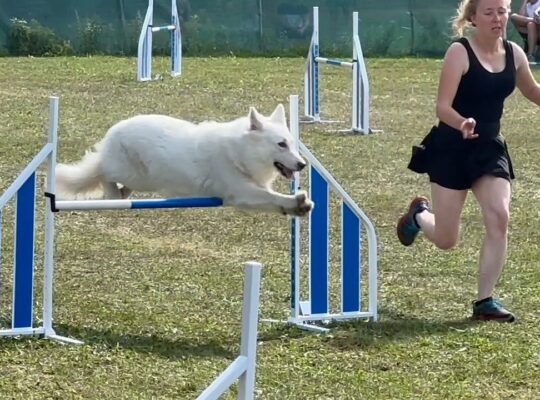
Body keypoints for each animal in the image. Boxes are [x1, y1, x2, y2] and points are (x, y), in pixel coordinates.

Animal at [55, 103, 314, 216]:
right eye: (281, 144)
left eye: (292, 144)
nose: (302, 165)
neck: (239, 151)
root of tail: (114, 130)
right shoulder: (241, 192)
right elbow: (272, 196)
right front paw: (296, 202)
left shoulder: (247, 195)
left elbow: (273, 201)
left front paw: (297, 207)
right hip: (137, 176)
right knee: (105, 173)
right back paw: (113, 194)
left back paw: (122, 193)